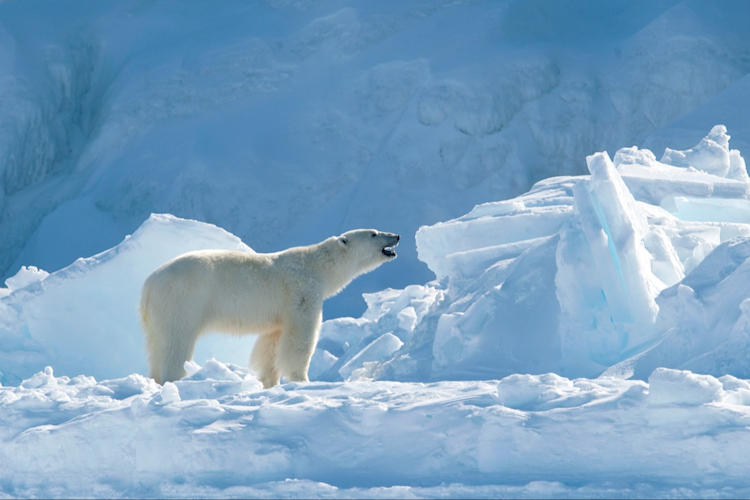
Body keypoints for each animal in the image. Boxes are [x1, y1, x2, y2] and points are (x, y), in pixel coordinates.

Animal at [140, 229, 400, 387]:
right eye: (374, 233)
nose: (396, 235)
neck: (317, 266)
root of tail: (149, 284)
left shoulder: (279, 312)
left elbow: (271, 344)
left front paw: (270, 382)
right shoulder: (302, 293)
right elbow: (301, 338)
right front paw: (301, 380)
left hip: (158, 313)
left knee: (156, 345)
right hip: (184, 299)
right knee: (176, 340)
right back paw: (175, 379)